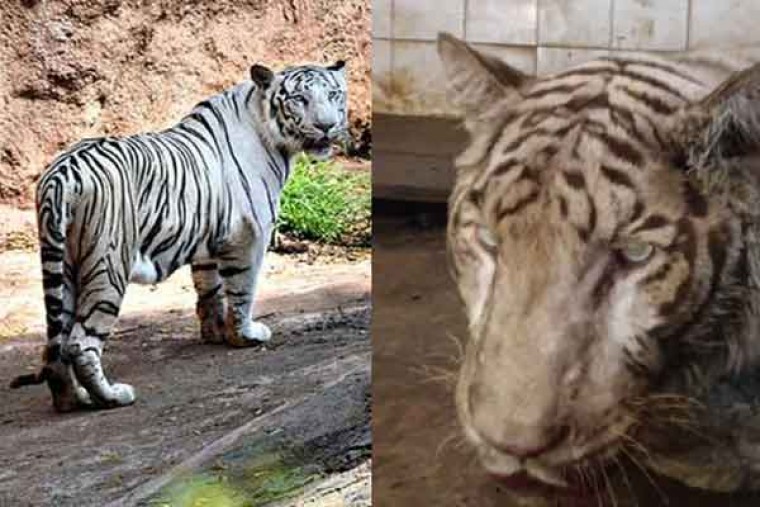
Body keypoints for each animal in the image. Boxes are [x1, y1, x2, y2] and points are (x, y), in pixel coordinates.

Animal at [10, 60, 348, 413]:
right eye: (299, 99)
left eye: (333, 94)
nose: (327, 126)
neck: (266, 127)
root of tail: (61, 173)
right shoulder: (250, 234)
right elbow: (243, 289)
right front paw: (245, 335)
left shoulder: (210, 237)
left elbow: (210, 287)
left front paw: (215, 332)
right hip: (107, 265)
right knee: (80, 342)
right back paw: (112, 396)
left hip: (64, 266)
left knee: (56, 345)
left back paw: (71, 399)